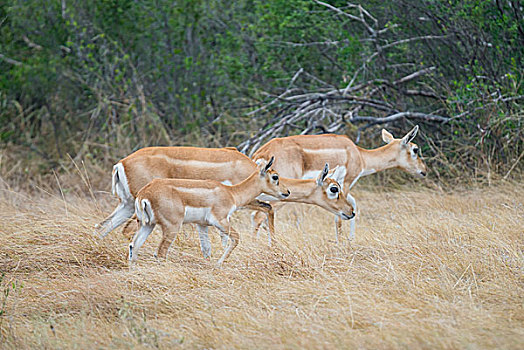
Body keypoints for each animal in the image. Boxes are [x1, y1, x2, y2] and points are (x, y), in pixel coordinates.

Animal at [128, 157, 288, 266]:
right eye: (275, 177)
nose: (287, 192)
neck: (231, 193)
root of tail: (145, 193)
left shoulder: (202, 224)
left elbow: (206, 249)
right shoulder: (221, 221)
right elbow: (236, 238)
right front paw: (219, 263)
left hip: (148, 225)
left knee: (133, 246)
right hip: (171, 227)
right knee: (160, 253)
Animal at [252, 126, 428, 243]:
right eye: (415, 149)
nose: (424, 170)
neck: (360, 155)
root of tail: (261, 154)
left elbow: (354, 205)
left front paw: (351, 240)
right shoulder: (347, 182)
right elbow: (341, 216)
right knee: (259, 215)